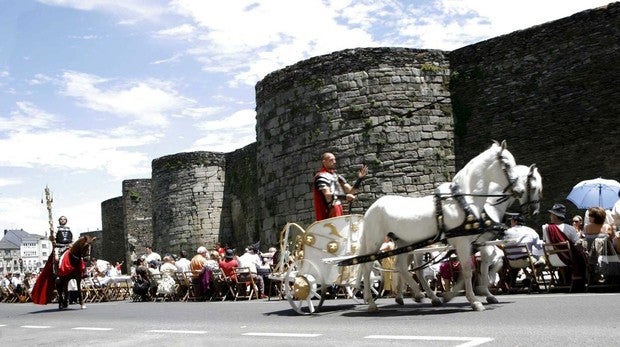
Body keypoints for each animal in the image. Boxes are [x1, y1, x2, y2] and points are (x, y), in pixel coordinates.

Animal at [354, 141, 524, 312]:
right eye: (507, 165)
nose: (520, 191)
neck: (463, 201)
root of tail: (371, 208)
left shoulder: (471, 242)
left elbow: (469, 270)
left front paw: (463, 295)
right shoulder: (463, 242)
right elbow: (468, 270)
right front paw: (475, 301)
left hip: (404, 242)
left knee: (401, 267)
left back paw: (423, 295)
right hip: (375, 240)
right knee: (368, 266)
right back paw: (372, 302)